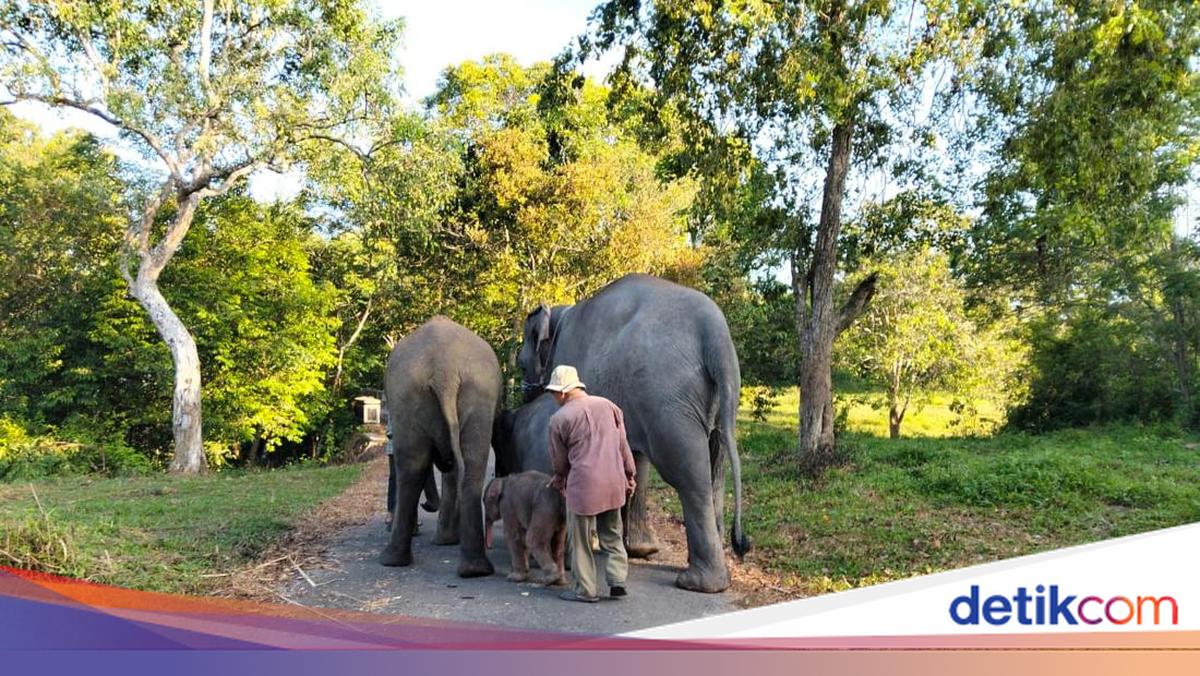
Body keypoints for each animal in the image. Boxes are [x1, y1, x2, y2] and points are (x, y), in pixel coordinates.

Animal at [379, 316, 502, 578]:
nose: (427, 505)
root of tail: (444, 371)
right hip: (474, 394)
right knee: (470, 468)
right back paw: (473, 570)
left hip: (411, 398)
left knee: (412, 468)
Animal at [517, 273, 750, 593]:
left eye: (520, 364)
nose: (523, 396)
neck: (561, 313)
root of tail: (716, 335)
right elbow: (632, 461)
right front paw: (640, 550)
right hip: (710, 399)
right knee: (716, 469)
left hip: (667, 400)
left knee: (689, 475)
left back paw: (697, 583)